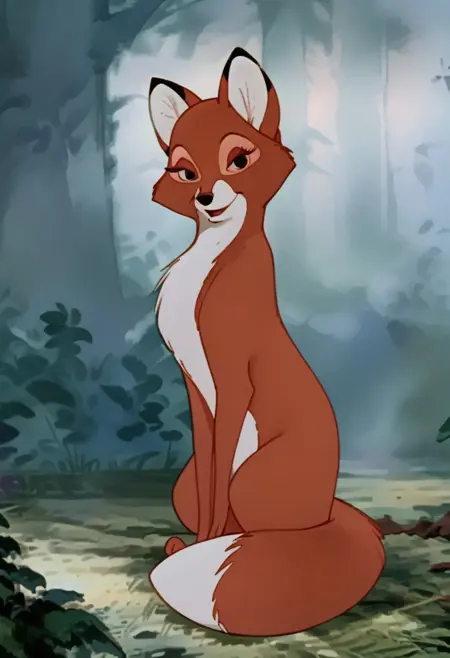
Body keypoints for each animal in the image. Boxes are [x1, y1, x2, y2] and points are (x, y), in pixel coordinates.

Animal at [146, 47, 385, 637]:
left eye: (238, 161)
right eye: (186, 172)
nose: (206, 196)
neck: (207, 272)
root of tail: (332, 513)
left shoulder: (233, 379)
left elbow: (219, 493)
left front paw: (206, 548)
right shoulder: (196, 388)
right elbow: (210, 483)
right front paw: (202, 543)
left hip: (254, 481)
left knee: (260, 526)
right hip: (185, 482)